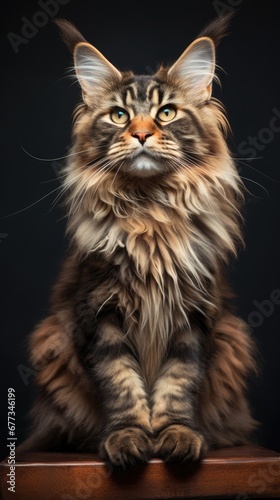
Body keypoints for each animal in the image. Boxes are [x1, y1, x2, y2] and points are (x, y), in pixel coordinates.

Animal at [18, 13, 258, 466]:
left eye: (166, 113)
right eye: (118, 115)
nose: (143, 134)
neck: (150, 216)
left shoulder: (195, 315)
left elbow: (177, 383)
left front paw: (177, 435)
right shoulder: (99, 313)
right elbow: (122, 384)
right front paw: (127, 438)